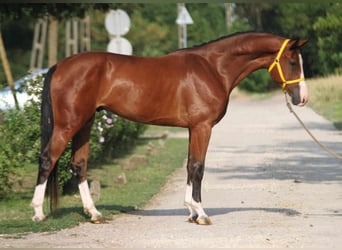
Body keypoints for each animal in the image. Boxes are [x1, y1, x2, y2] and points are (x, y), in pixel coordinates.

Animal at [30, 31, 308, 225]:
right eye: (293, 62)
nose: (302, 98)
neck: (213, 68)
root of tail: (59, 66)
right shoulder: (202, 126)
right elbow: (198, 167)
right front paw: (201, 213)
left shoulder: (193, 128)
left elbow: (190, 165)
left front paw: (192, 212)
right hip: (69, 124)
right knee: (47, 159)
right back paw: (38, 214)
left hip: (85, 123)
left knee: (79, 164)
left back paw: (94, 213)